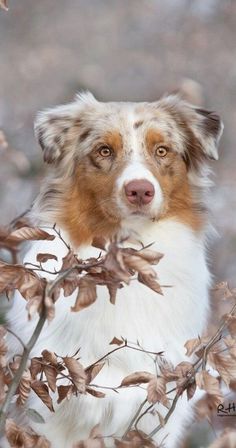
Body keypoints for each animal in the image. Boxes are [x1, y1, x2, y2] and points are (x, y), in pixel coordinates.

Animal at [6, 93, 223, 446]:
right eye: (104, 151)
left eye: (162, 150)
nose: (140, 191)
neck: (128, 263)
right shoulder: (48, 417)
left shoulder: (157, 416)